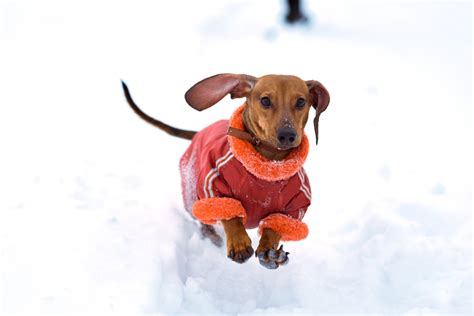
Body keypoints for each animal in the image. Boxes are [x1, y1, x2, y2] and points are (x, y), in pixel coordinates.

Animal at [122, 74, 330, 270]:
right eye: (265, 100)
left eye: (301, 102)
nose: (287, 135)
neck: (268, 168)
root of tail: (198, 133)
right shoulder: (214, 188)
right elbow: (230, 216)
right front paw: (238, 243)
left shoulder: (293, 209)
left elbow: (275, 226)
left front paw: (269, 252)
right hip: (193, 196)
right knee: (204, 223)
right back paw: (214, 238)